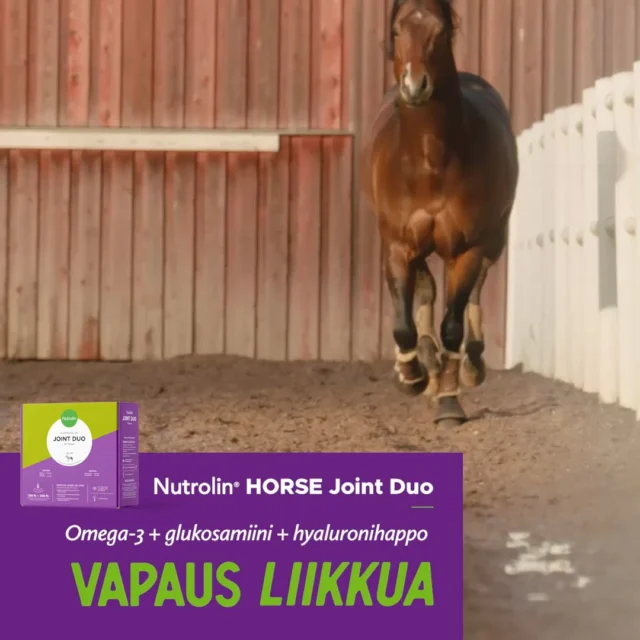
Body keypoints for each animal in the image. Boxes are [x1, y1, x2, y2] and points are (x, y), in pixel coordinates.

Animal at [359, 0, 519, 427]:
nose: (416, 86)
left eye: (441, 31)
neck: (430, 163)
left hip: (494, 239)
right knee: (427, 290)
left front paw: (449, 401)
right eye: (397, 31)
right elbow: (402, 324)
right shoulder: (397, 245)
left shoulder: (467, 248)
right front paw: (410, 375)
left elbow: (452, 325)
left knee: (475, 290)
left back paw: (468, 366)